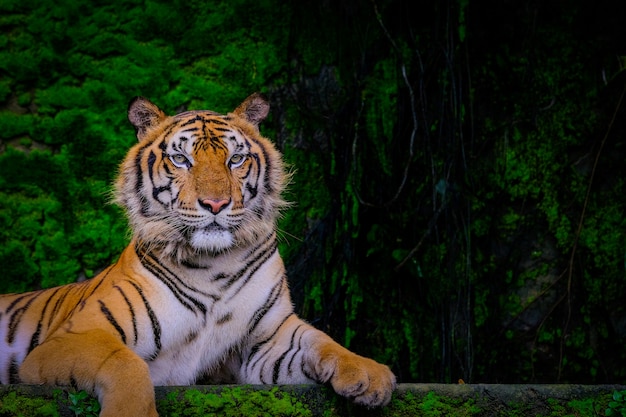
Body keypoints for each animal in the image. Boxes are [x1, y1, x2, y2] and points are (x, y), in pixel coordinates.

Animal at [0, 92, 394, 414]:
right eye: (180, 159)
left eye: (236, 159)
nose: (216, 204)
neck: (213, 264)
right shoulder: (75, 337)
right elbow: (125, 363)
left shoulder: (267, 337)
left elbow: (319, 340)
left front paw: (370, 374)